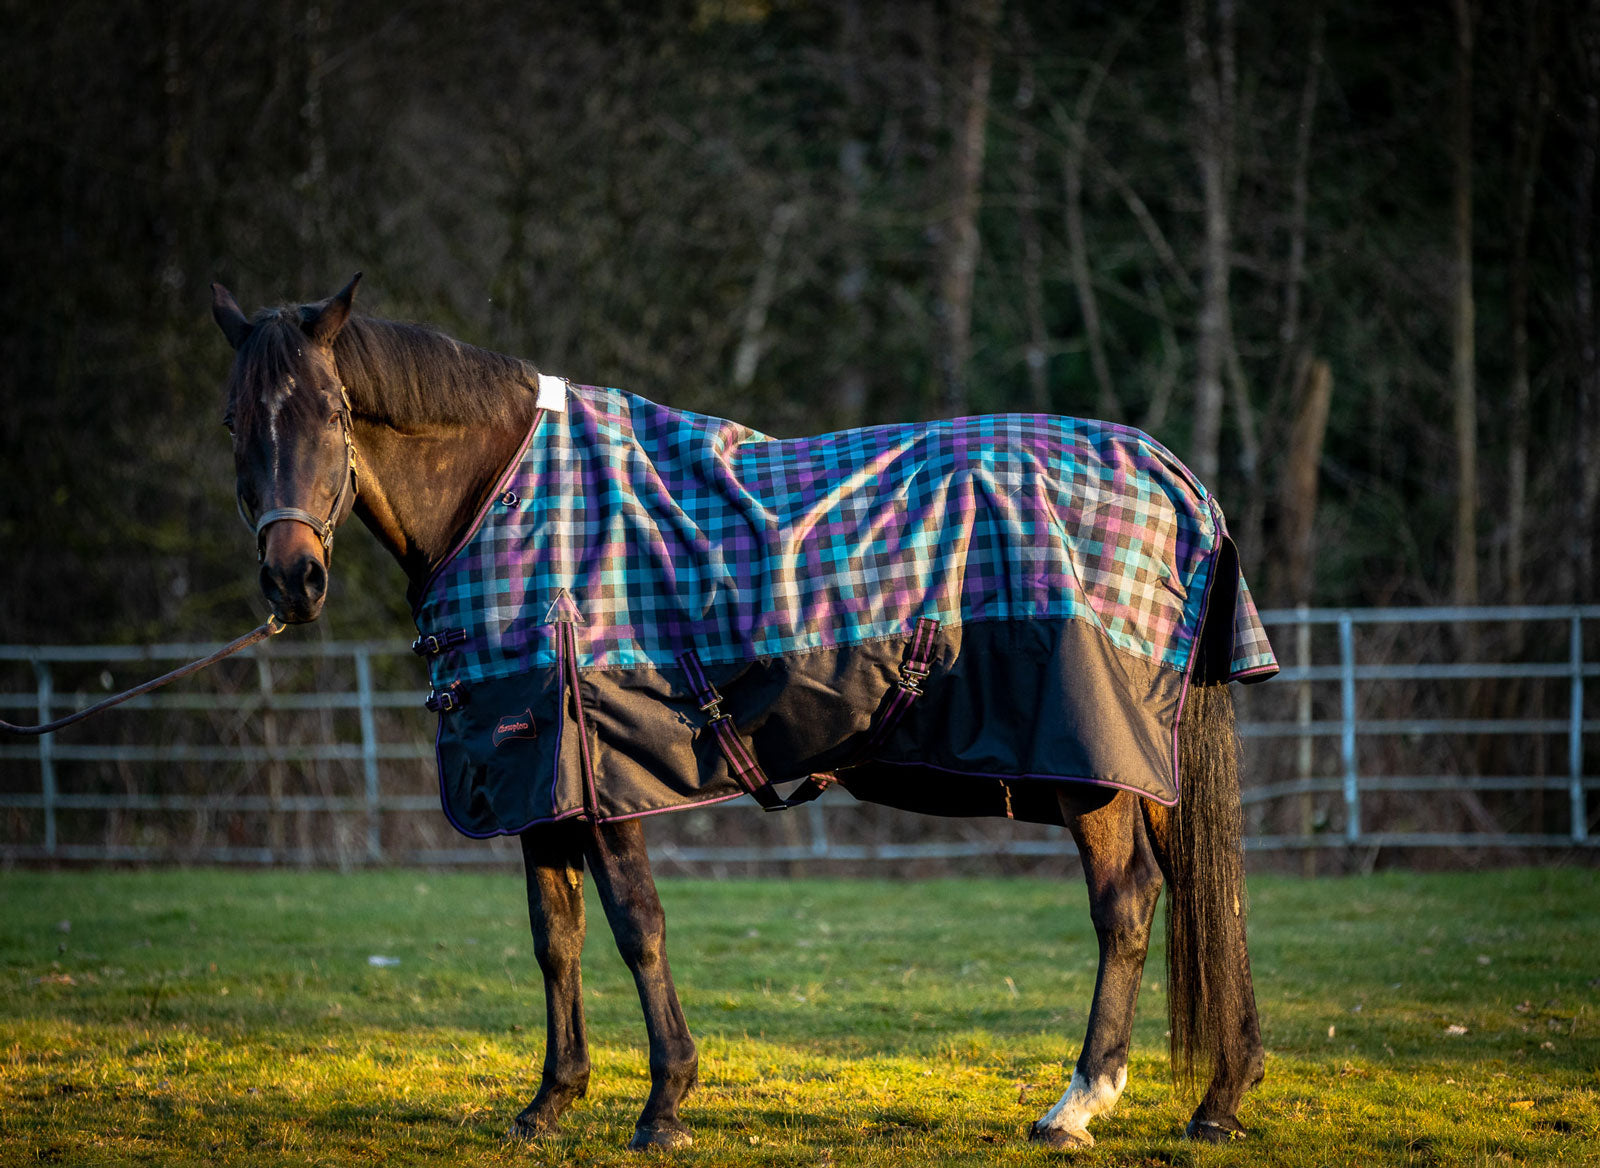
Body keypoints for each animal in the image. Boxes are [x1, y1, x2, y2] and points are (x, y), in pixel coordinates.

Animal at [212, 275, 1260, 1145]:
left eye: (333, 411)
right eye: (233, 424)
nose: (293, 579)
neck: (507, 503)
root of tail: (1177, 481)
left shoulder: (600, 774)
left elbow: (637, 927)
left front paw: (664, 1104)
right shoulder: (537, 780)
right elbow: (556, 939)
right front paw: (550, 1103)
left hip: (1094, 769)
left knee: (1125, 905)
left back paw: (1077, 1104)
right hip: (1137, 770)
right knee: (1207, 897)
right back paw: (1219, 1098)